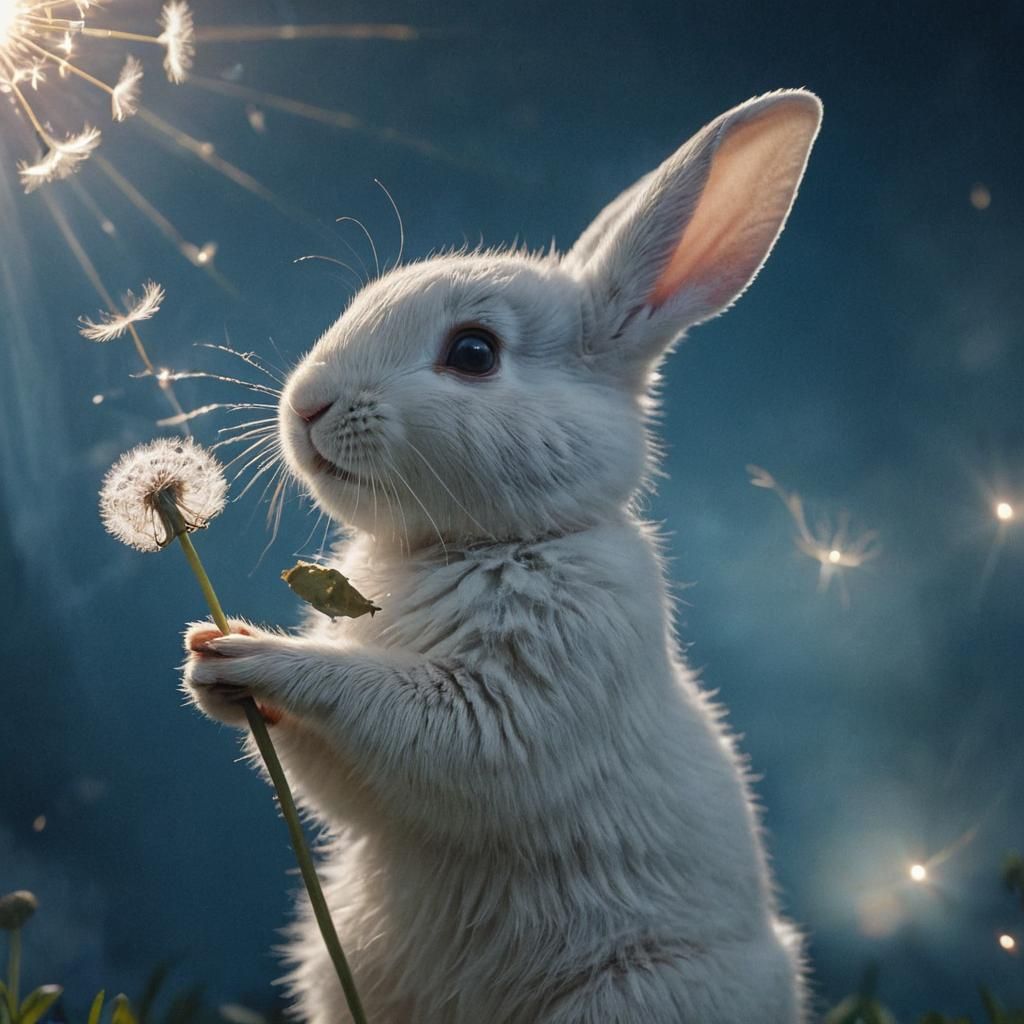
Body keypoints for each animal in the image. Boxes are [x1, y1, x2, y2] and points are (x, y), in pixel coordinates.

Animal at [183, 89, 822, 1024]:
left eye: (474, 352)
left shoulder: (511, 697)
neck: (484, 542)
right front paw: (204, 662)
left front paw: (253, 655)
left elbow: (401, 716)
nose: (306, 406)